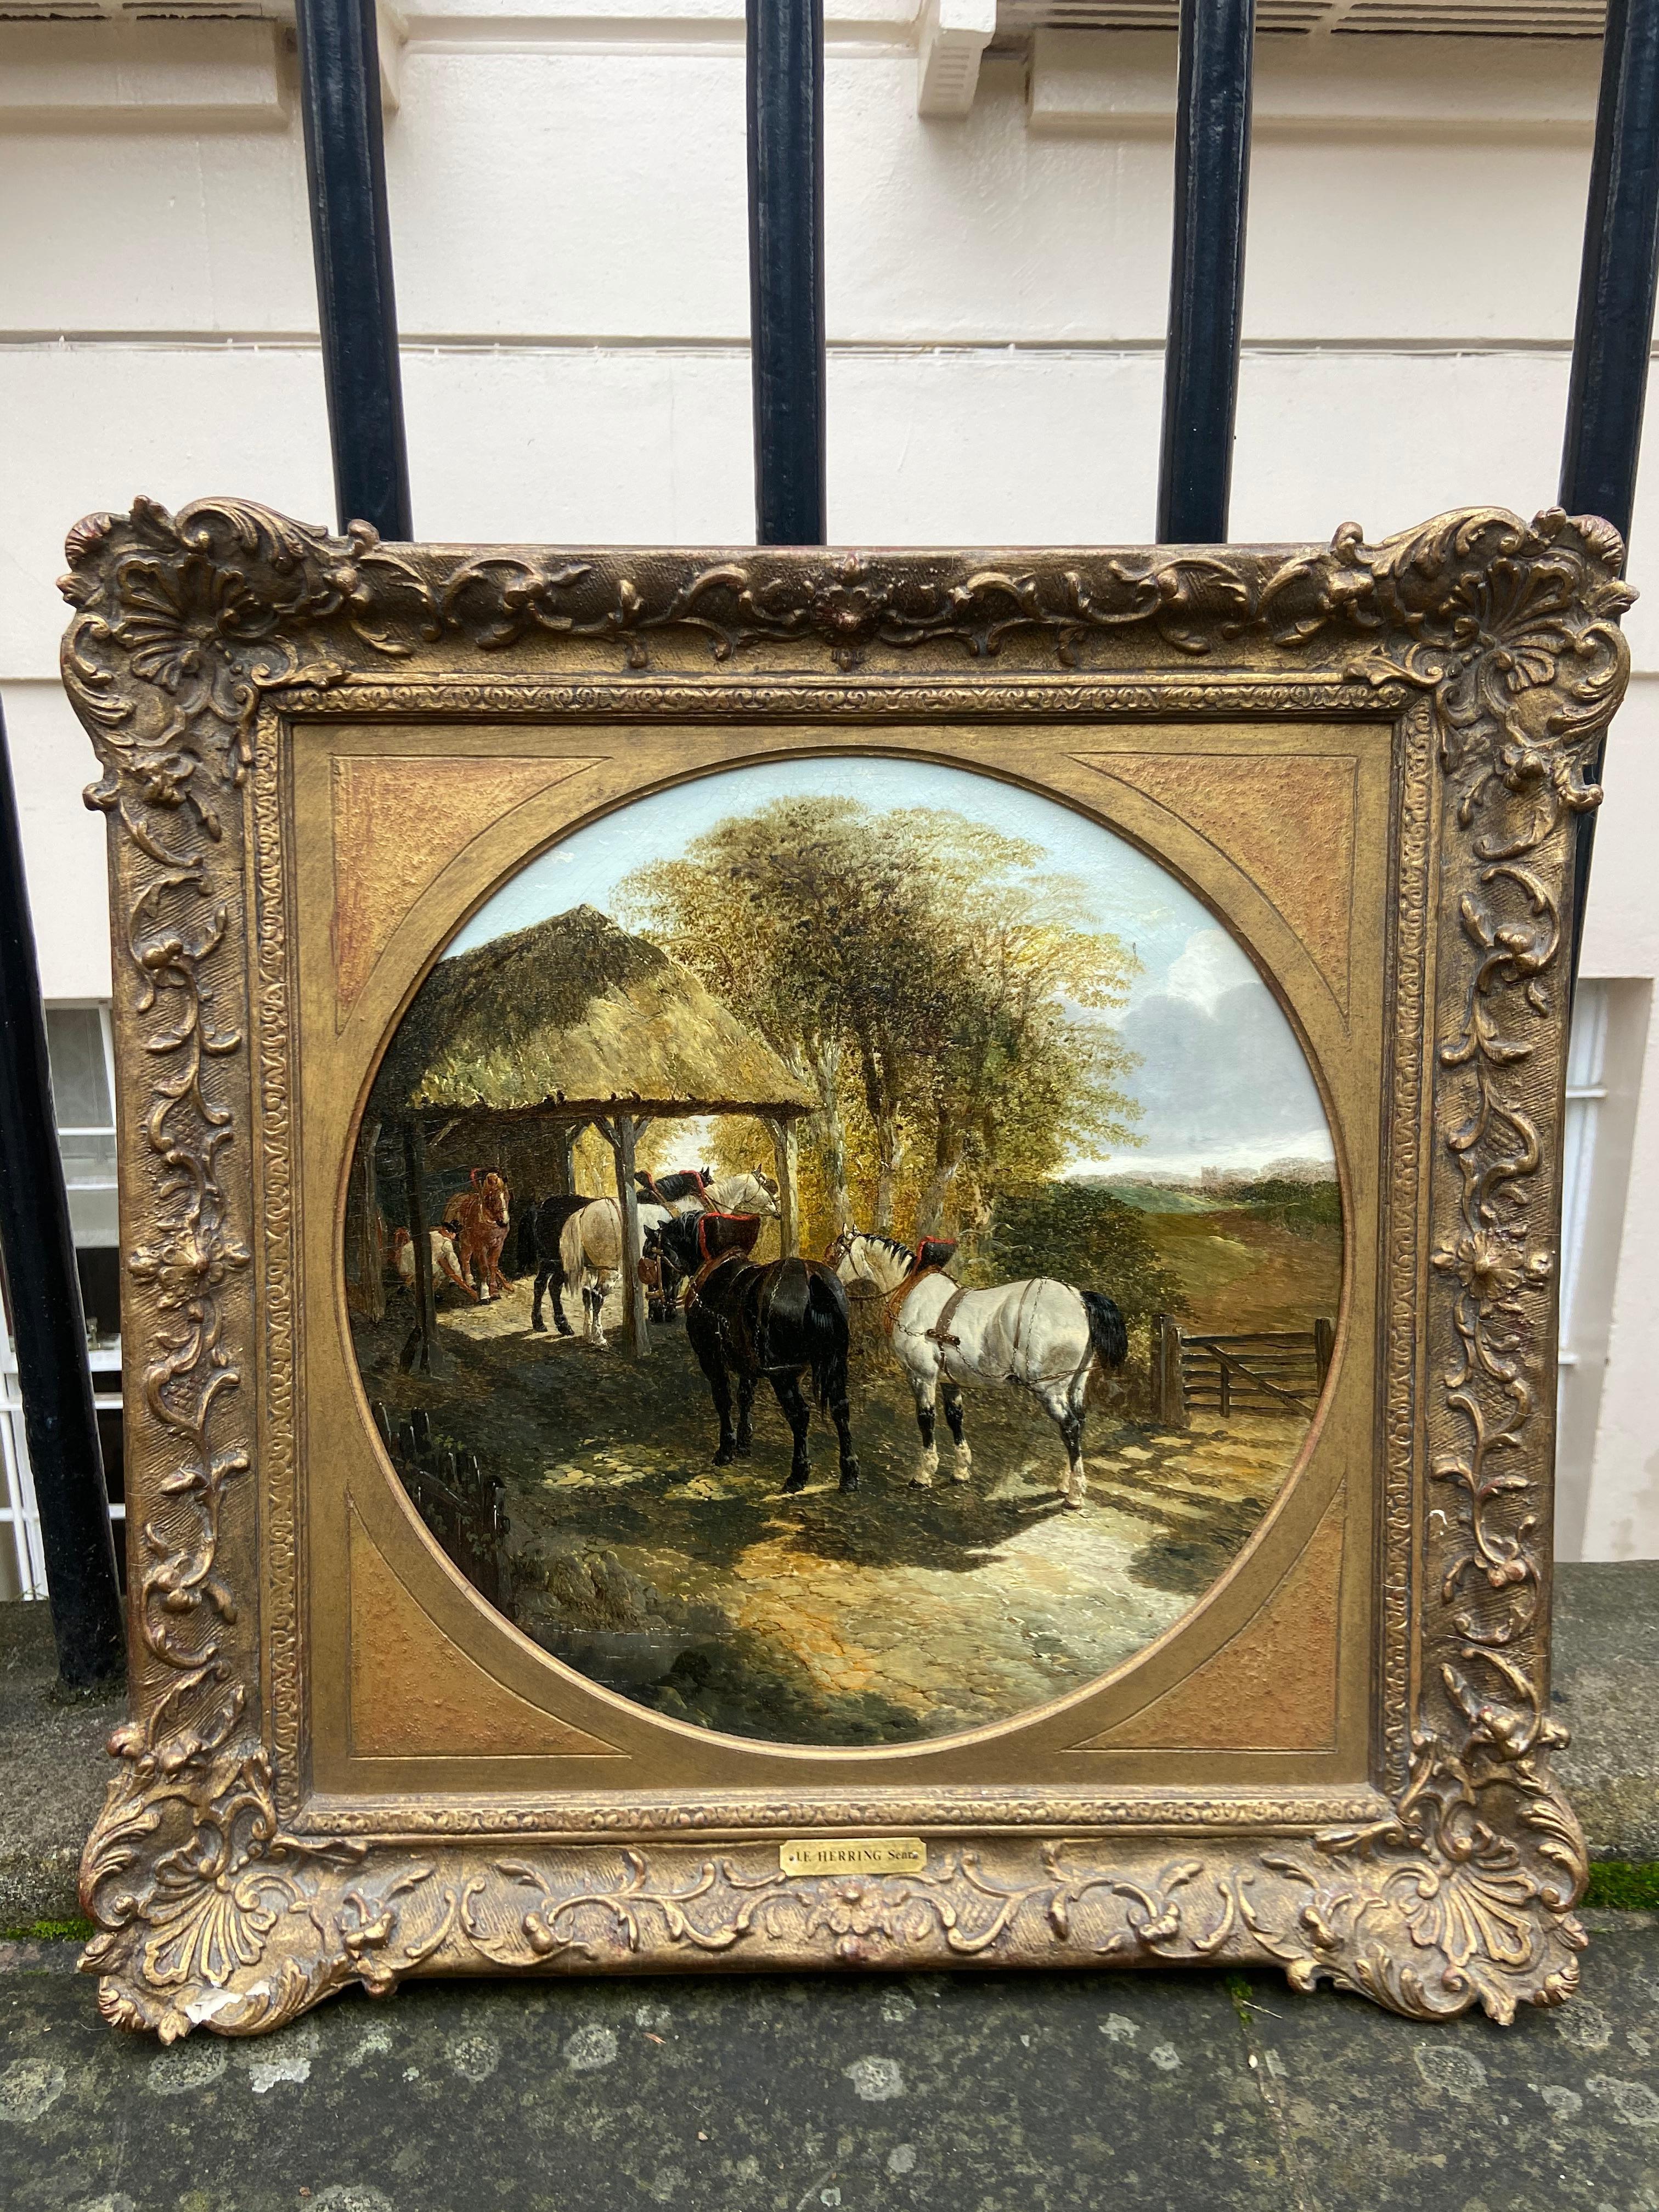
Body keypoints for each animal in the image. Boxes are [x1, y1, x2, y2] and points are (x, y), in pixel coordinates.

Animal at [566, 1177, 787, 1345]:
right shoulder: (677, 1262)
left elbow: (664, 1287)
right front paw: (669, 1312)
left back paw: (588, 1334)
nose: (779, 1210)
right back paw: (599, 1338)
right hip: (609, 1269)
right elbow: (674, 1285)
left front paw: (660, 1312)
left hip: (594, 1268)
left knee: (587, 1293)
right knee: (597, 1296)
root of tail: (584, 1212)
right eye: (767, 1185)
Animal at [650, 1221, 858, 1495]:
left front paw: (726, 1449)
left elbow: (724, 1401)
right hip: (835, 1365)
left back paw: (798, 1474)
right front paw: (744, 1442)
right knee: (840, 1409)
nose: (654, 1309)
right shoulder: (746, 1363)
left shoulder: (711, 1359)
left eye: (650, 1254)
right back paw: (850, 1474)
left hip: (783, 1375)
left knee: (800, 1415)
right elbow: (745, 1397)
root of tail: (811, 1277)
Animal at [827, 1221, 1132, 1513]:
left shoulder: (921, 1376)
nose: (828, 1283)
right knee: (1079, 1423)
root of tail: (1080, 1300)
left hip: (1050, 1390)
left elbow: (926, 1420)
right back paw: (1066, 1483)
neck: (912, 1292)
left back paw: (1075, 1495)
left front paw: (924, 1474)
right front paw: (961, 1470)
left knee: (1070, 1427)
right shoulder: (949, 1380)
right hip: (1076, 1384)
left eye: (835, 1252)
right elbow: (955, 1418)